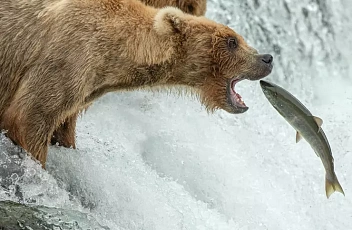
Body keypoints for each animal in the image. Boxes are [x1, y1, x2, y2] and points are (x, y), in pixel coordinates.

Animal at [0, 0, 272, 169]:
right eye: (232, 41)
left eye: (238, 38)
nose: (267, 58)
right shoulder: (68, 56)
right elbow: (30, 117)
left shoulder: (84, 87)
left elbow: (62, 126)